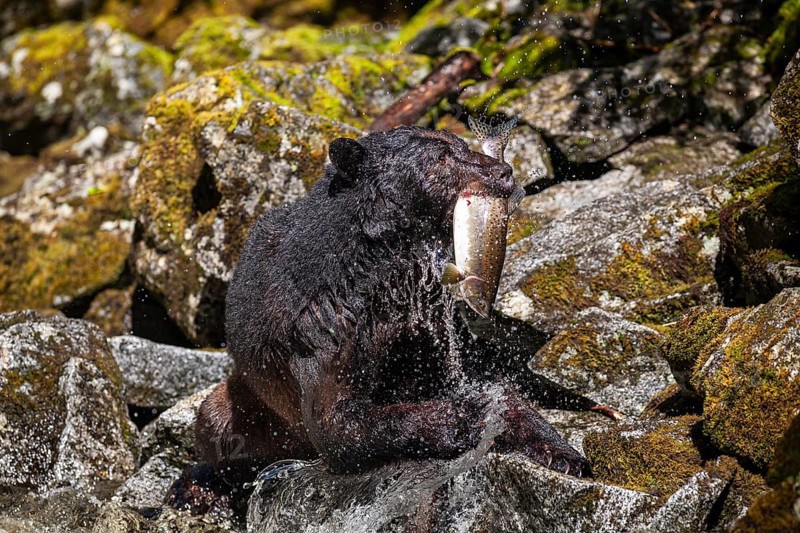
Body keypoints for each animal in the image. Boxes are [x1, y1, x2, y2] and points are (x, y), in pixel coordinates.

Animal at [170, 126, 591, 516]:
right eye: (440, 158)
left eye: (459, 144)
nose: (503, 171)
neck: (381, 267)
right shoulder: (324, 324)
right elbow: (337, 420)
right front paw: (465, 416)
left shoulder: (422, 313)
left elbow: (473, 378)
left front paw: (561, 451)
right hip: (256, 404)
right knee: (216, 421)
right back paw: (196, 487)